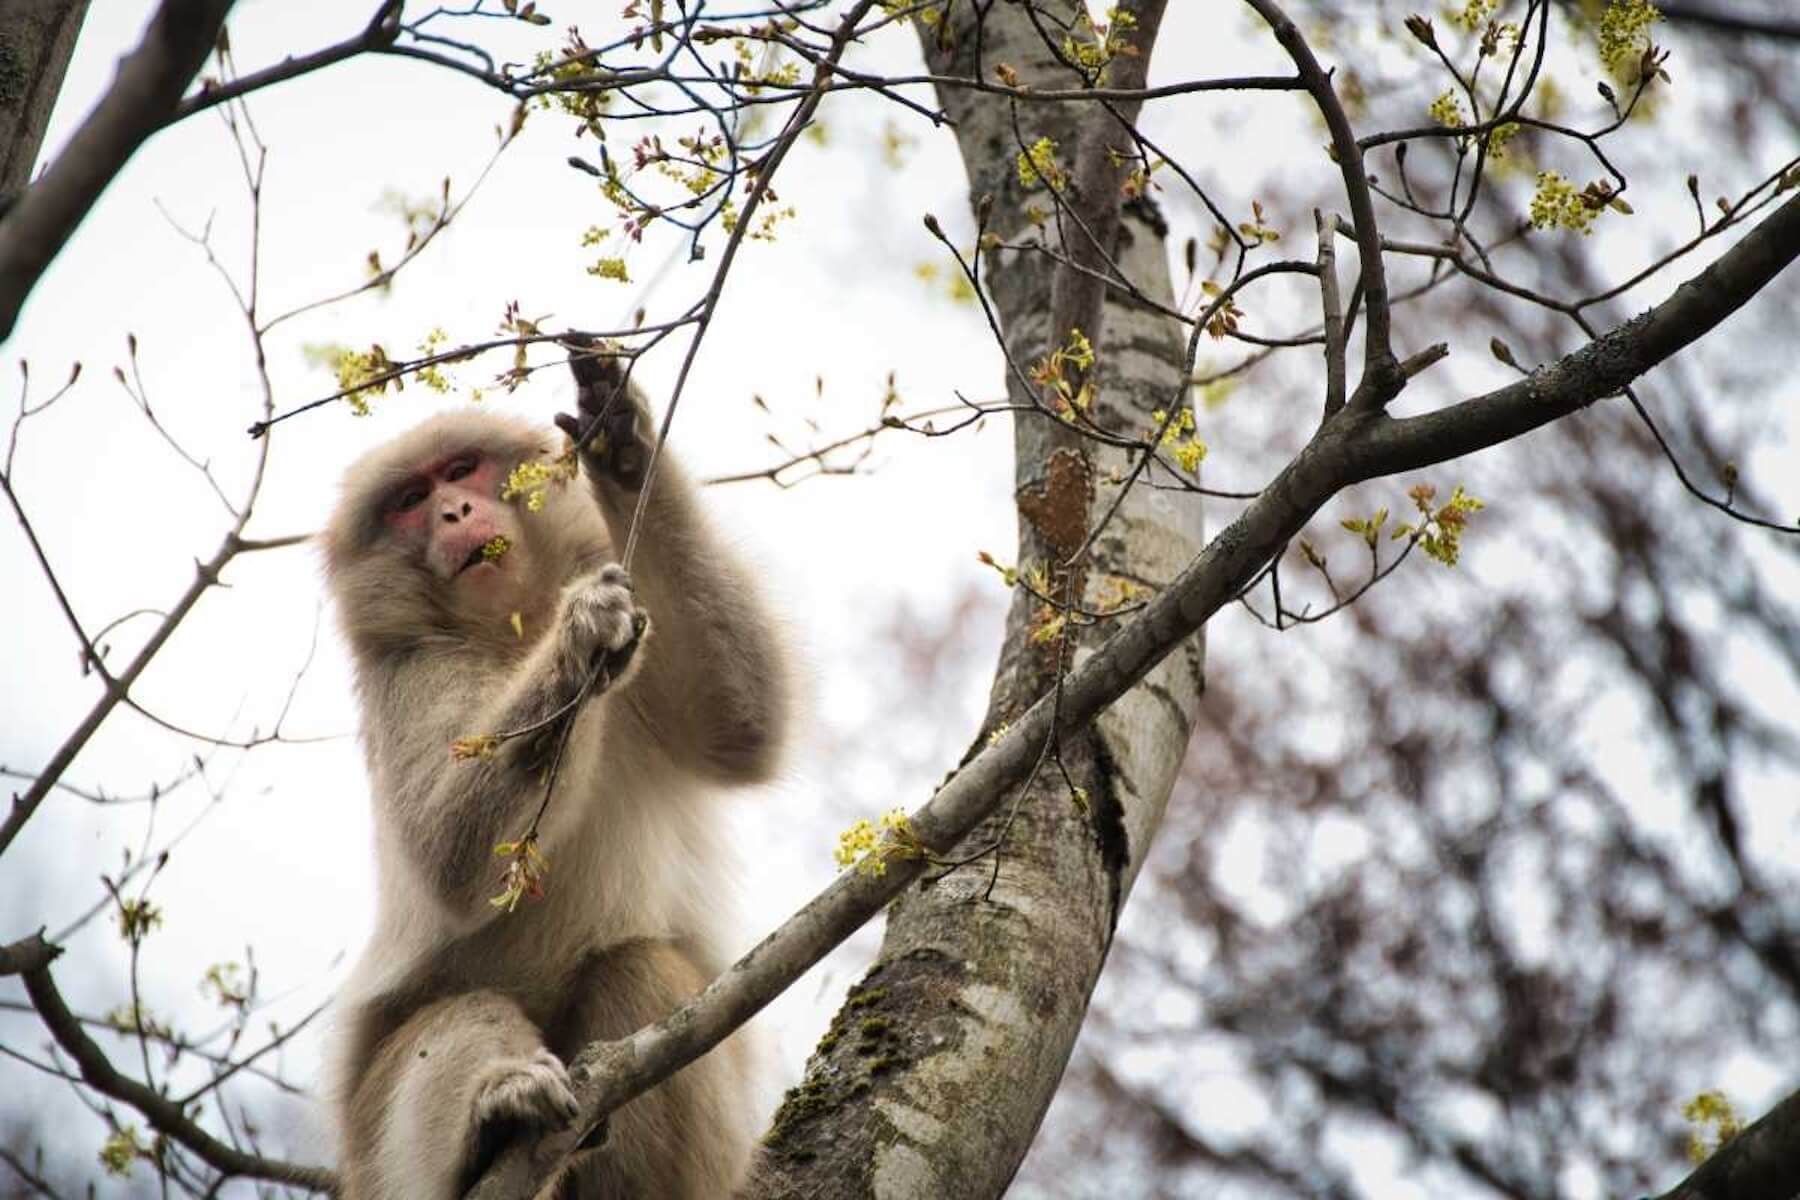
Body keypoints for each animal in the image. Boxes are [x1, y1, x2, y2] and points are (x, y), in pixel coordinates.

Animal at [319, 347, 789, 1199]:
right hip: (373, 1152)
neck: (512, 631)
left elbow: (744, 724)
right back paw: (497, 1119)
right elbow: (454, 858)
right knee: (452, 1014)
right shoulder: (410, 675)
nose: (453, 513)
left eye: (460, 470)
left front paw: (623, 445)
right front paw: (579, 640)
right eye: (410, 500)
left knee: (641, 966)